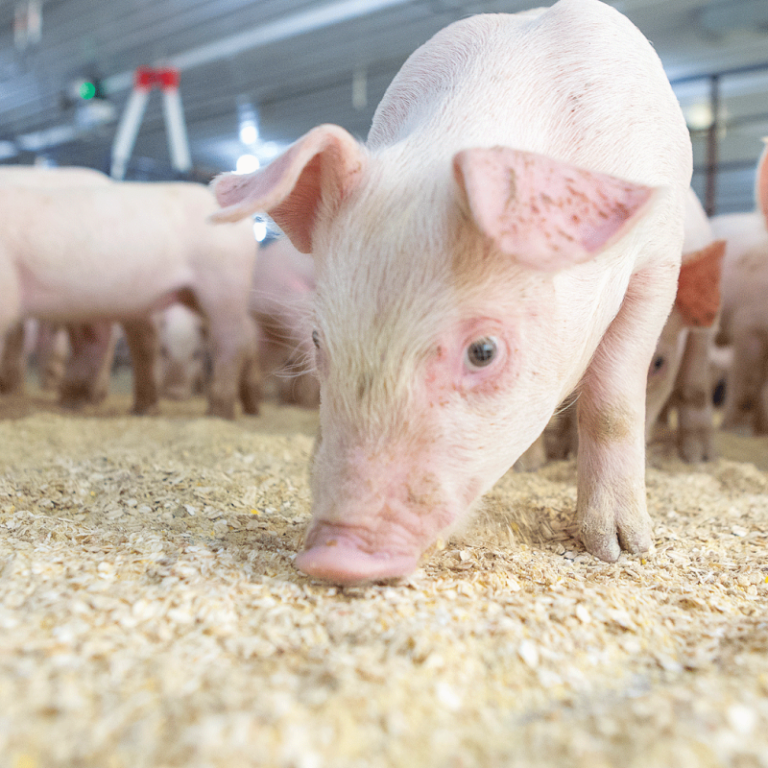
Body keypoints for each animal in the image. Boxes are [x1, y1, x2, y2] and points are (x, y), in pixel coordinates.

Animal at [212, 0, 692, 582]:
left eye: (483, 351)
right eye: (318, 340)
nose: (335, 557)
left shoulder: (659, 260)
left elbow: (614, 402)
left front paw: (620, 549)